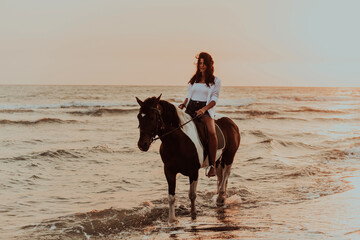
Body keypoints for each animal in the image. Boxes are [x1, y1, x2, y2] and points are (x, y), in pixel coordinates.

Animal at [136, 94, 240, 222]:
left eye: (151, 117)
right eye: (139, 117)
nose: (142, 144)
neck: (178, 141)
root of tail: (231, 122)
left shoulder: (193, 171)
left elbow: (192, 195)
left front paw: (193, 213)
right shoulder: (169, 171)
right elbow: (171, 197)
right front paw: (172, 220)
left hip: (229, 156)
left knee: (226, 175)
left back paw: (220, 197)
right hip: (217, 160)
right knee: (220, 176)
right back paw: (221, 199)